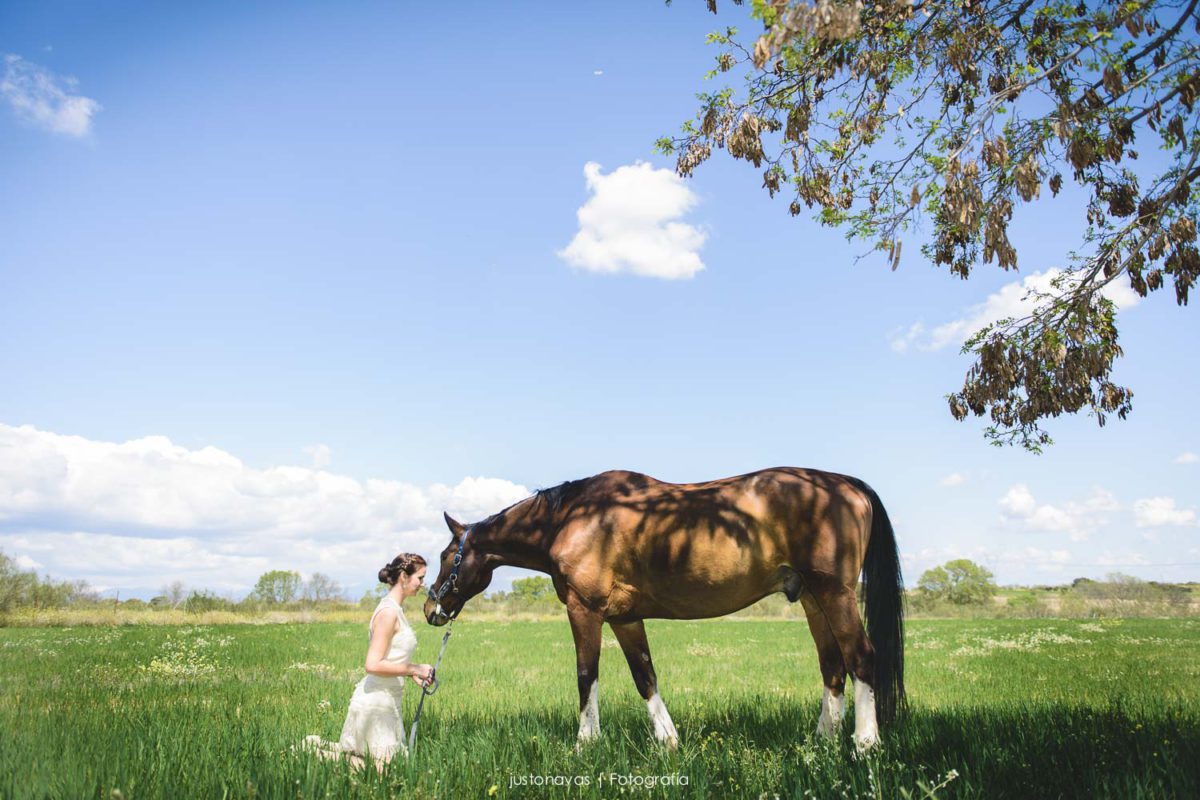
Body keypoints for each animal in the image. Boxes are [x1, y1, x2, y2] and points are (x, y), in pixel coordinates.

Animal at [423, 467, 905, 751]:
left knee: (861, 657)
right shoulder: (624, 617)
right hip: (811, 599)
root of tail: (849, 485)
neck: (575, 518)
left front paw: (585, 744)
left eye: (447, 556)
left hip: (835, 594)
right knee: (832, 666)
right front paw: (668, 741)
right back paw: (821, 742)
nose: (431, 608)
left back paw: (865, 744)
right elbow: (645, 675)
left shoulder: (584, 610)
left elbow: (586, 675)